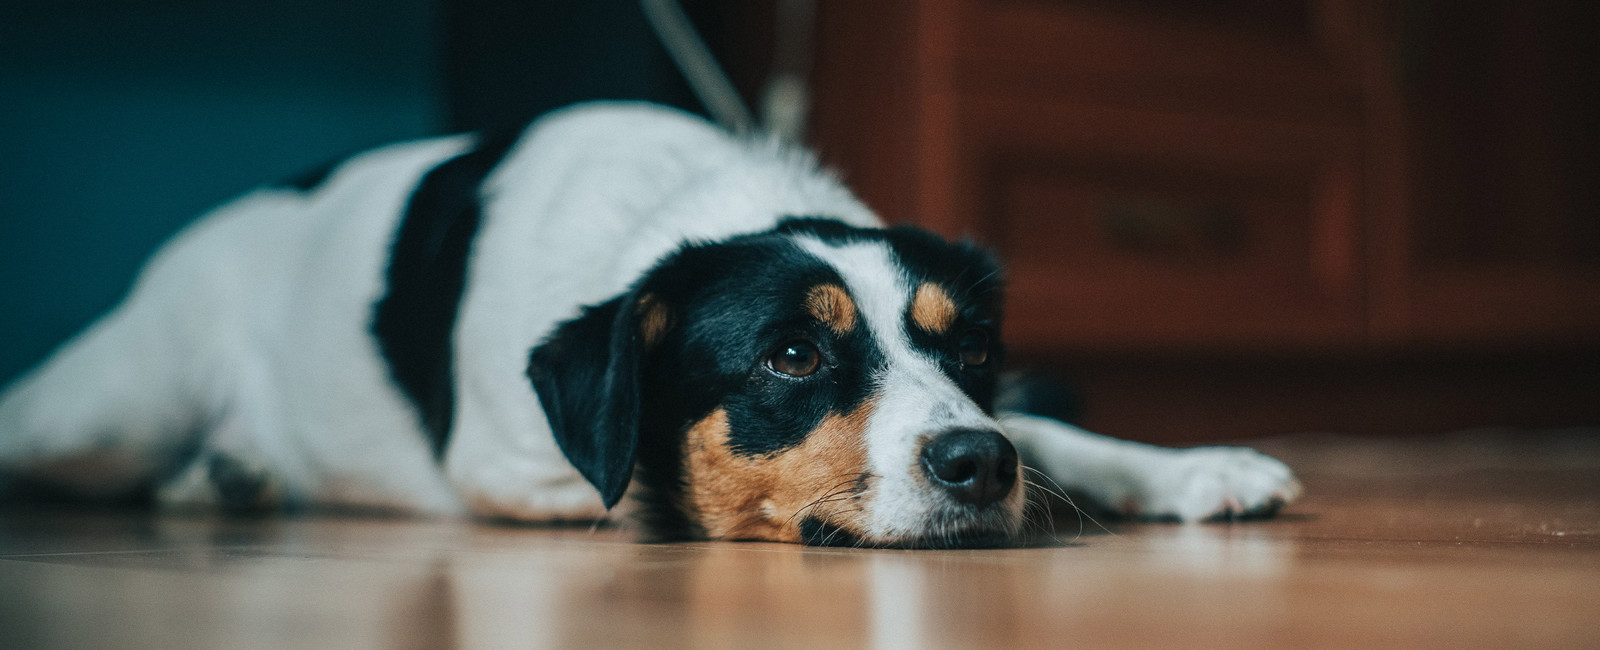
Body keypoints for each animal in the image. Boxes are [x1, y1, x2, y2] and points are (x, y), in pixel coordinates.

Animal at [0, 102, 1299, 547]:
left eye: (969, 344)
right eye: (791, 354)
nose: (975, 465)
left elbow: (1054, 433)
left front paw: (1187, 466)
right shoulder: (503, 460)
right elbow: (638, 482)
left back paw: (229, 477)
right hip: (111, 409)